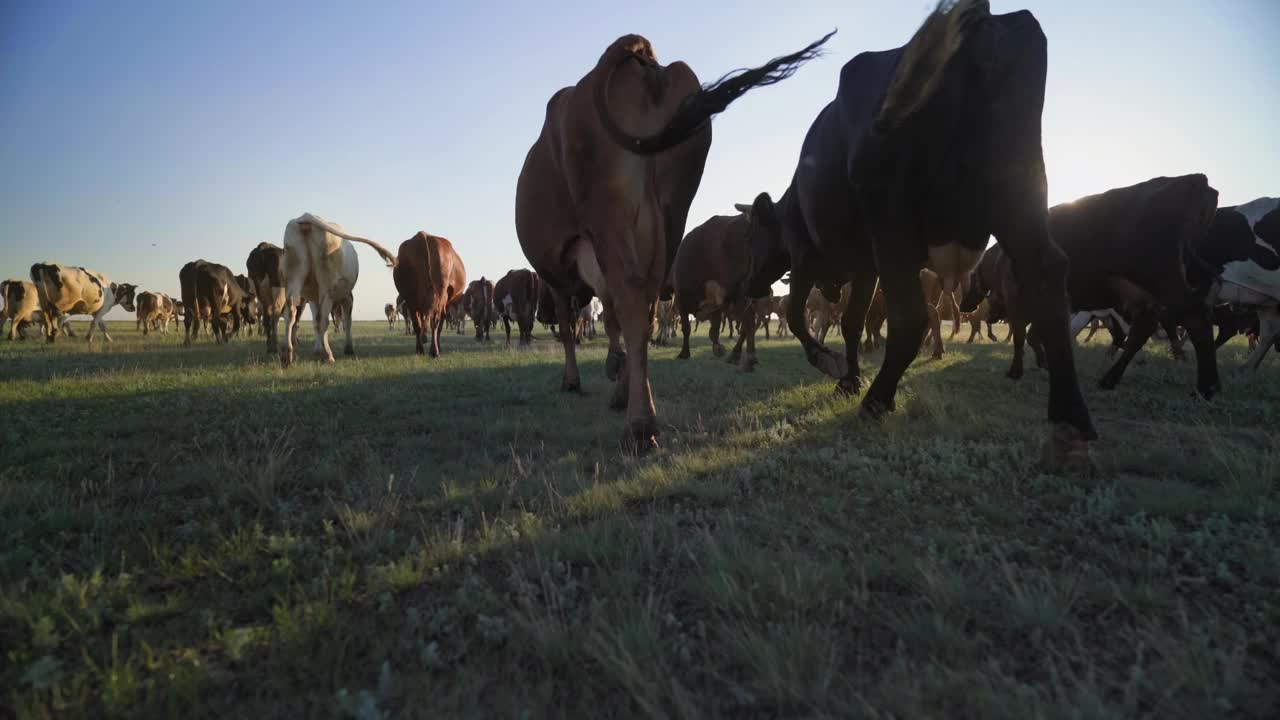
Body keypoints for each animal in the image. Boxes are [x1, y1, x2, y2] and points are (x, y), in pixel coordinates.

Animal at [279, 210, 394, 361]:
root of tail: (306, 217)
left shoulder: (313, 299)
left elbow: (315, 323)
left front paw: (317, 349)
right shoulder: (348, 297)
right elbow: (347, 322)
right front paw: (348, 348)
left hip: (294, 275)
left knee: (291, 313)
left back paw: (287, 355)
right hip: (326, 287)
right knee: (322, 319)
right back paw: (328, 355)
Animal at [514, 30, 834, 450]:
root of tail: (635, 51)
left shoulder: (561, 276)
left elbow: (576, 328)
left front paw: (577, 379)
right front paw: (616, 375)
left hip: (615, 222)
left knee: (637, 307)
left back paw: (640, 424)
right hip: (668, 225)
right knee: (648, 310)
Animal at [737, 1, 1095, 458]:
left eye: (752, 236)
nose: (749, 283)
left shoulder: (806, 258)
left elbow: (801, 317)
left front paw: (831, 364)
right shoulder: (864, 266)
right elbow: (851, 323)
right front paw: (849, 378)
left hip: (891, 209)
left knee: (910, 316)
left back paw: (877, 400)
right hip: (1020, 187)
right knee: (1047, 274)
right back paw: (1071, 414)